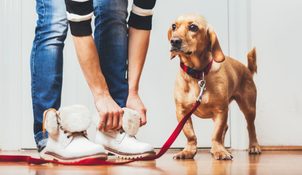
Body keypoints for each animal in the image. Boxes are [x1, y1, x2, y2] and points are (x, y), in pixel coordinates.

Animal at [169, 14, 260, 160]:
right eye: (173, 26)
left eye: (193, 27)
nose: (174, 41)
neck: (198, 74)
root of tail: (247, 69)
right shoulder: (182, 112)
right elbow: (190, 134)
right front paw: (188, 151)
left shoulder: (221, 111)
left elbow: (216, 133)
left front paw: (219, 150)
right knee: (226, 127)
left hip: (249, 108)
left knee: (250, 127)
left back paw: (253, 146)